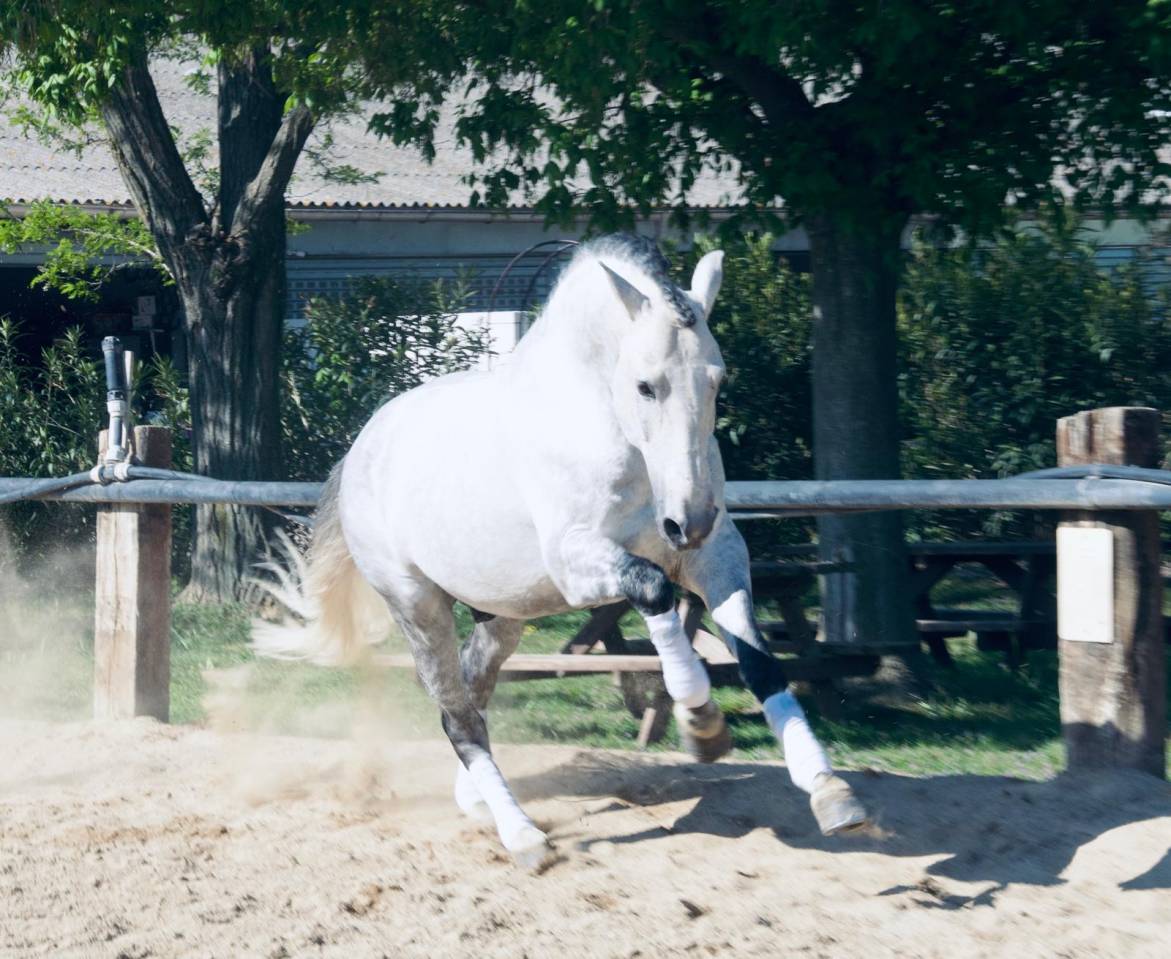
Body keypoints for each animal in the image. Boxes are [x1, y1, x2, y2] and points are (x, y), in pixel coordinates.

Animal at [254, 234, 868, 868]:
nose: (689, 520)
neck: (613, 433)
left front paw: (831, 794)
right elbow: (653, 589)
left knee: (474, 692)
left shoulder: (716, 556)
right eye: (645, 385)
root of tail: (360, 451)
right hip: (417, 605)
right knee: (457, 717)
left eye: (717, 381)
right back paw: (523, 836)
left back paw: (477, 802)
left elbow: (759, 660)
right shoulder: (579, 565)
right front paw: (701, 721)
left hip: (503, 615)